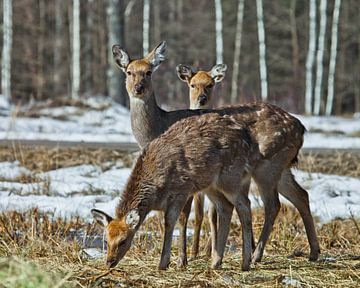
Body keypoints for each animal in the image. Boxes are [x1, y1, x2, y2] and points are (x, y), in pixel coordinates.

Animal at [92, 112, 262, 270]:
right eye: (106, 240)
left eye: (123, 241)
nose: (109, 262)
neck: (154, 194)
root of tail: (248, 138)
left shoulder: (181, 191)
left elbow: (170, 222)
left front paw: (164, 263)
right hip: (211, 185)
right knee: (226, 207)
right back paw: (215, 262)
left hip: (231, 176)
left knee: (245, 205)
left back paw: (246, 262)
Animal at [108, 41, 320, 268]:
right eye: (129, 72)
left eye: (148, 72)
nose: (138, 88)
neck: (158, 127)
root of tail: (300, 127)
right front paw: (199, 254)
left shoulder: (185, 178)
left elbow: (186, 215)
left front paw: (183, 259)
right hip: (281, 166)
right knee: (301, 195)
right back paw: (313, 252)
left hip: (267, 166)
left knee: (272, 204)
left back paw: (255, 255)